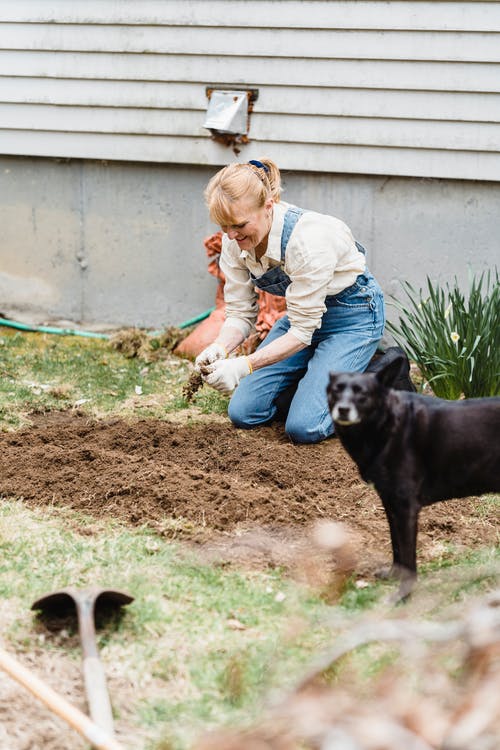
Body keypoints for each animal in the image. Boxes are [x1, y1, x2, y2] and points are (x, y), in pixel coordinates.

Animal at [326, 354, 500, 600]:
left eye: (363, 394)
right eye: (335, 390)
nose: (343, 409)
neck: (387, 425)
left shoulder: (406, 507)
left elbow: (408, 556)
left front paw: (402, 596)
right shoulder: (390, 503)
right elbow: (397, 547)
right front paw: (393, 576)